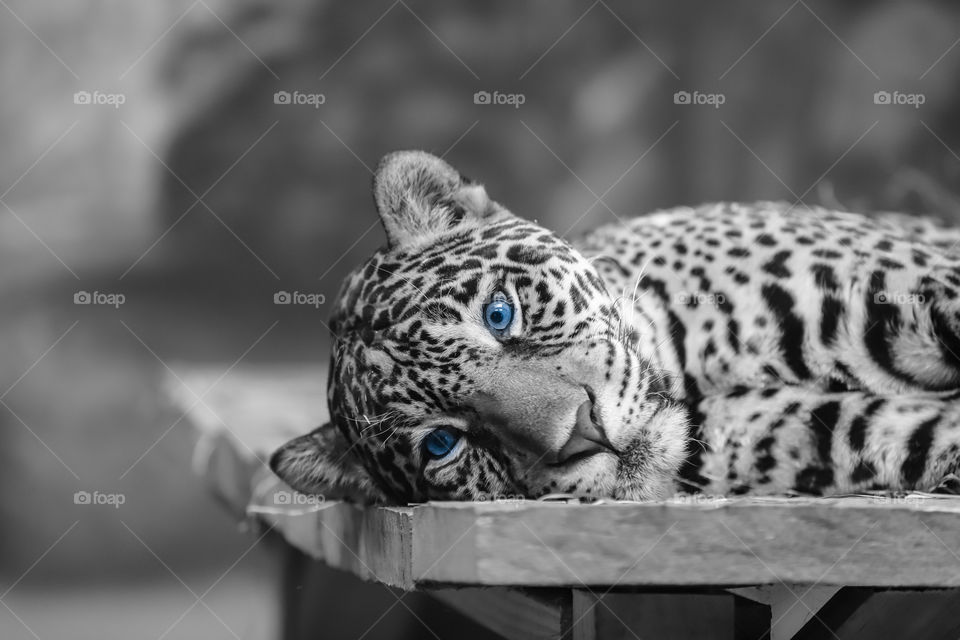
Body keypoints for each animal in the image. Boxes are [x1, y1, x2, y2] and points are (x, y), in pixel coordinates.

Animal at [270, 150, 960, 504]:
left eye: (500, 313)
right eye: (442, 444)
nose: (582, 434)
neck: (695, 366)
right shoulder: (812, 428)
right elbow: (920, 436)